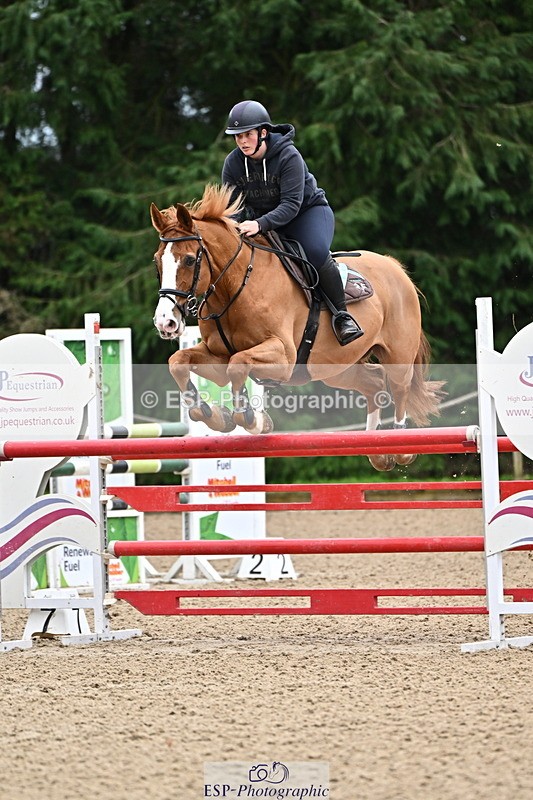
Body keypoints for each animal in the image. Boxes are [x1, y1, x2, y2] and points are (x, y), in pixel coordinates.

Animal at [150, 184, 444, 471]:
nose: (165, 322)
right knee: (374, 382)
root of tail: (394, 267)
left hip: (397, 354)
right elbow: (180, 362)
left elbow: (238, 363)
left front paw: (252, 419)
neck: (235, 287)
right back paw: (376, 449)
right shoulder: (217, 356)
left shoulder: (283, 356)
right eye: (157, 261)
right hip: (336, 366)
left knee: (399, 386)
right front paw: (215, 416)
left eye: (189, 260)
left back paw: (400, 447)